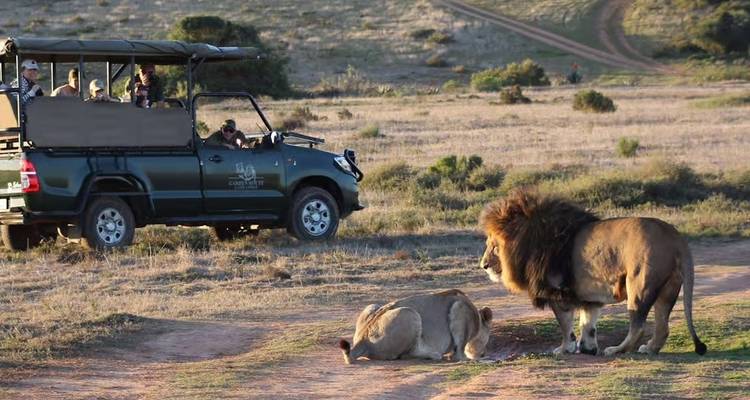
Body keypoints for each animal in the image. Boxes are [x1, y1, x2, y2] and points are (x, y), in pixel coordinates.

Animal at [338, 289, 493, 364]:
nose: (484, 353)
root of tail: (362, 339)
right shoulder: (460, 310)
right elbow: (461, 357)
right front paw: (485, 360)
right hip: (410, 313)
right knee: (405, 354)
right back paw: (433, 354)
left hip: (372, 306)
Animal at [479, 190, 706, 357]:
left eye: (494, 247)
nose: (484, 265)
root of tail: (675, 235)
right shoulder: (587, 297)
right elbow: (588, 323)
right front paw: (587, 347)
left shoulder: (556, 292)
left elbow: (565, 325)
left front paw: (564, 349)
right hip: (668, 288)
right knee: (662, 326)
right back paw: (650, 349)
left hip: (639, 283)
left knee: (639, 325)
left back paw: (616, 350)